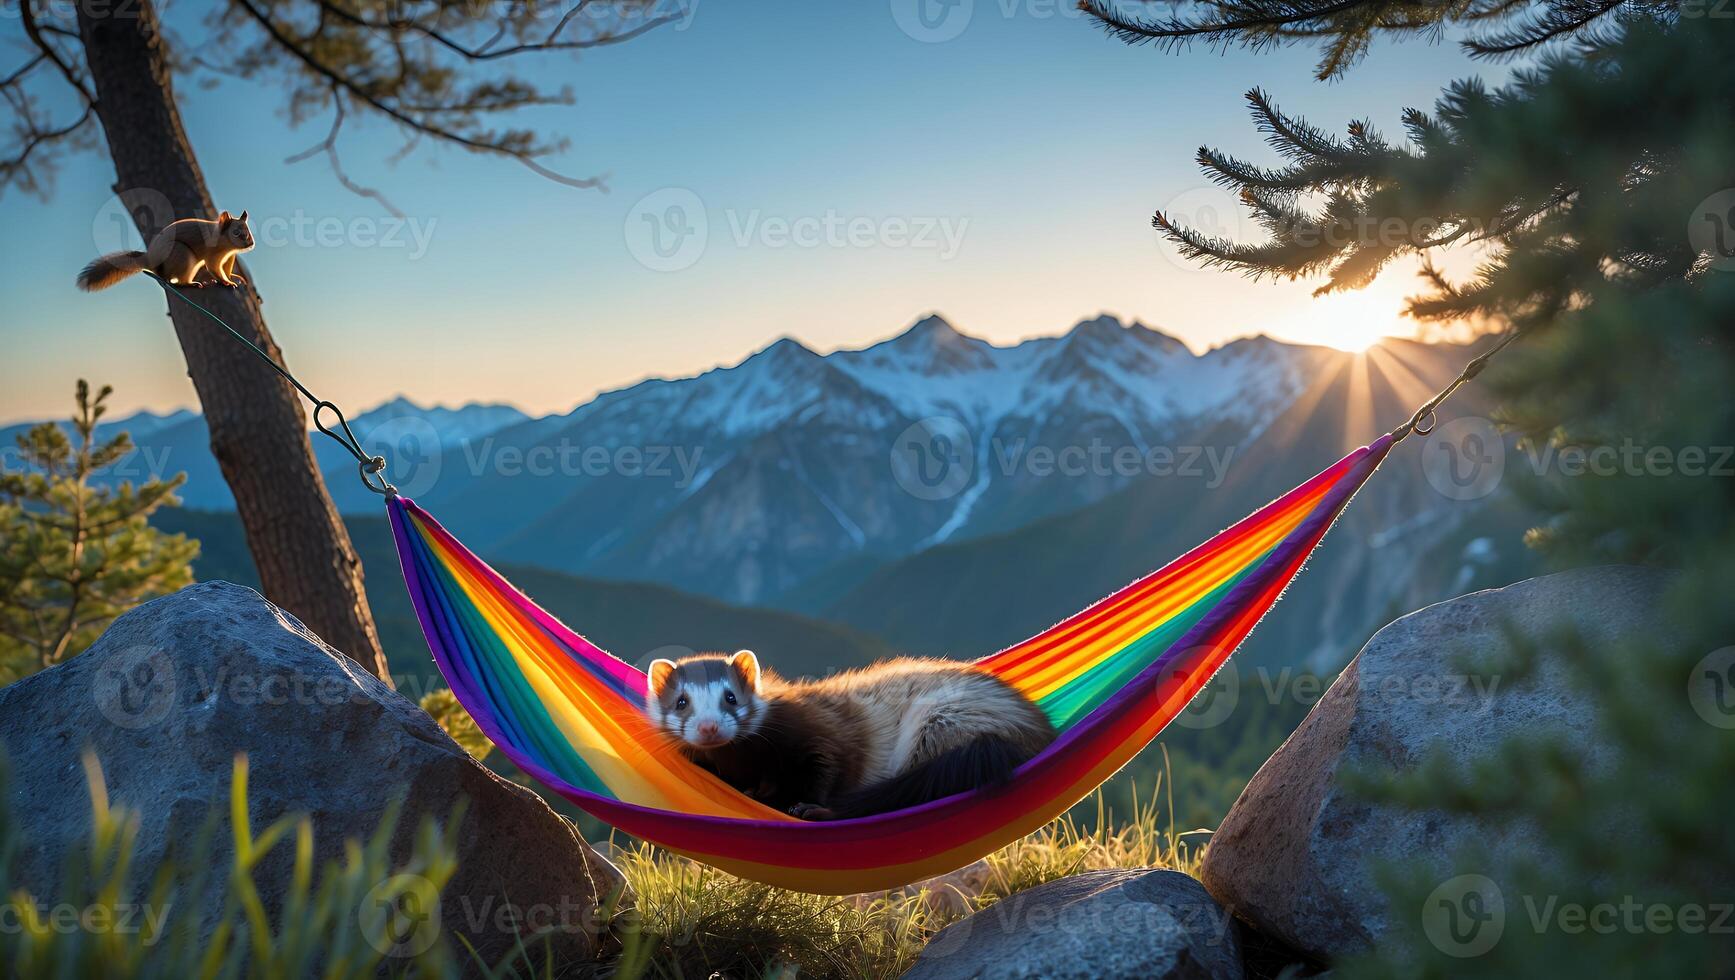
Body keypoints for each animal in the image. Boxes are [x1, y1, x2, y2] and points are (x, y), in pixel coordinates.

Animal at [77, 210, 255, 291]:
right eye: (236, 233)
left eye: (249, 230)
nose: (251, 243)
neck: (226, 246)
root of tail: (151, 261)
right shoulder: (213, 256)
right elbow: (215, 269)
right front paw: (226, 282)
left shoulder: (229, 257)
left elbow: (226, 269)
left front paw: (232, 277)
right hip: (183, 255)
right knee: (176, 281)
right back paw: (191, 283)